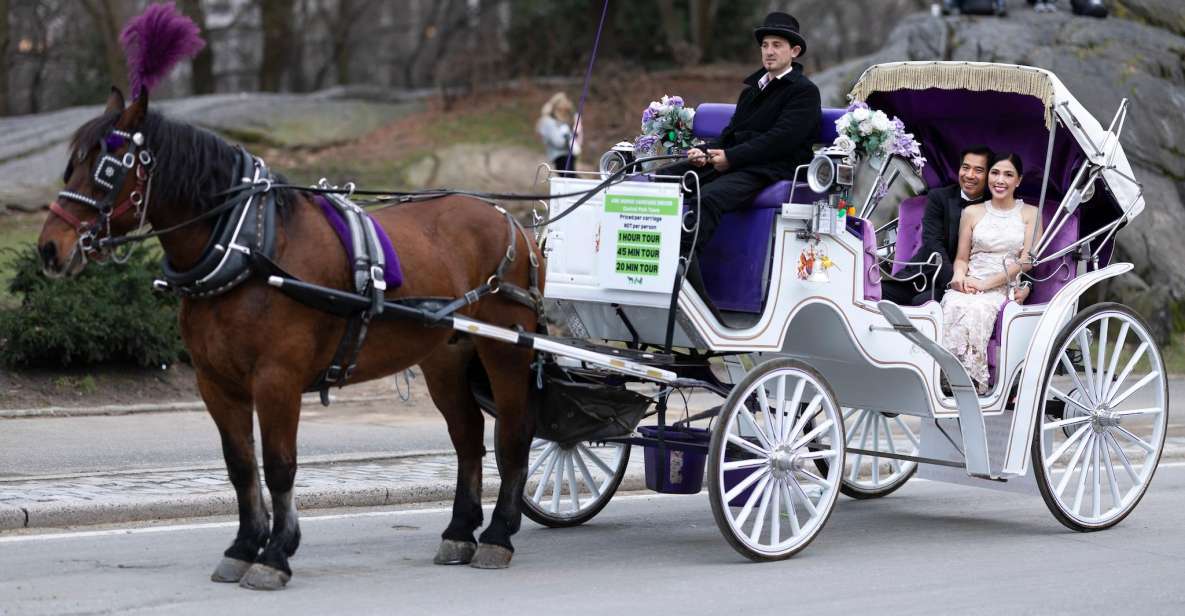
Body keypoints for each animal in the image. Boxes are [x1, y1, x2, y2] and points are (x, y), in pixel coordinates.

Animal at [37, 88, 545, 589]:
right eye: (70, 166)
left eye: (106, 168)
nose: (49, 249)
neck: (249, 247)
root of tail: (511, 221)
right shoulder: (216, 383)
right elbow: (240, 466)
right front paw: (243, 547)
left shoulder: (277, 379)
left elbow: (280, 466)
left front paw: (276, 554)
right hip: (445, 357)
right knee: (468, 436)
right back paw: (460, 532)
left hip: (505, 349)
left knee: (514, 434)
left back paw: (498, 535)